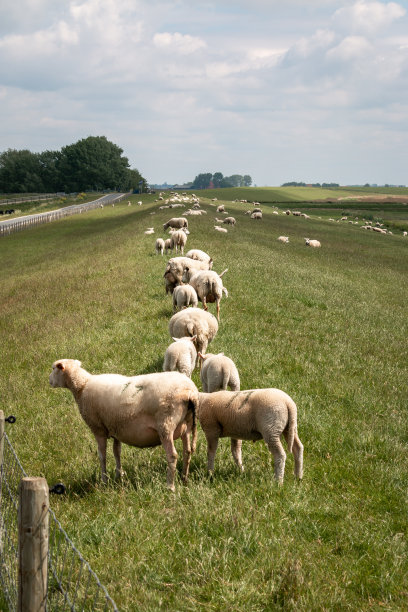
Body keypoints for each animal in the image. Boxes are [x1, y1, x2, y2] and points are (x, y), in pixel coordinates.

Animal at [49, 358, 199, 492]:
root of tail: (190, 391)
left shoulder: (98, 429)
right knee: (187, 451)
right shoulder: (116, 428)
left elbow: (102, 455)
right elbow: (117, 452)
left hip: (166, 424)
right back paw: (184, 478)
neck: (82, 386)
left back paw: (170, 486)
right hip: (187, 424)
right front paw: (118, 475)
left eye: (53, 368)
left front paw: (104, 480)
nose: (49, 381)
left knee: (172, 455)